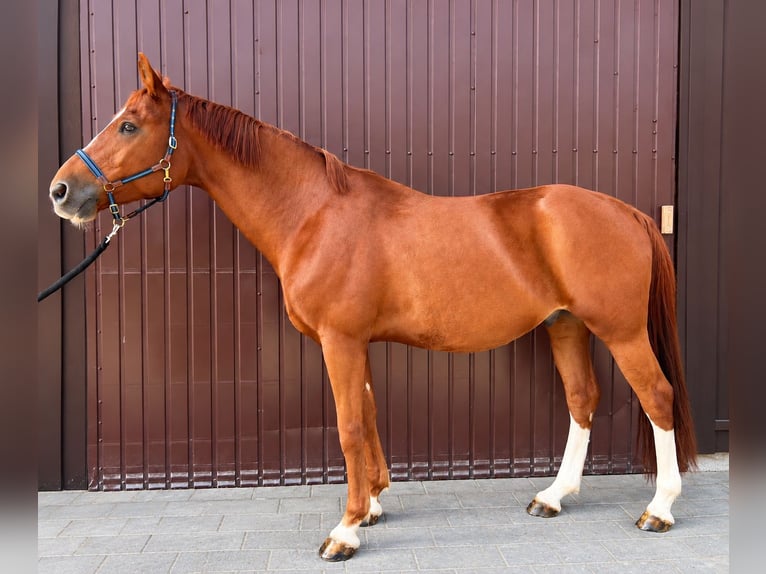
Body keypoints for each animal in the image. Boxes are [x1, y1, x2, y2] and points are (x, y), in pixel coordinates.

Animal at [48, 54, 696, 561]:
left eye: (129, 125)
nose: (61, 191)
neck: (313, 215)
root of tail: (628, 212)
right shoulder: (353, 341)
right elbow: (370, 412)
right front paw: (375, 504)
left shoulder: (340, 340)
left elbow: (350, 425)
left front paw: (346, 530)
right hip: (566, 327)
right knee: (582, 400)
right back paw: (553, 497)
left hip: (620, 331)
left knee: (656, 396)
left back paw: (659, 509)